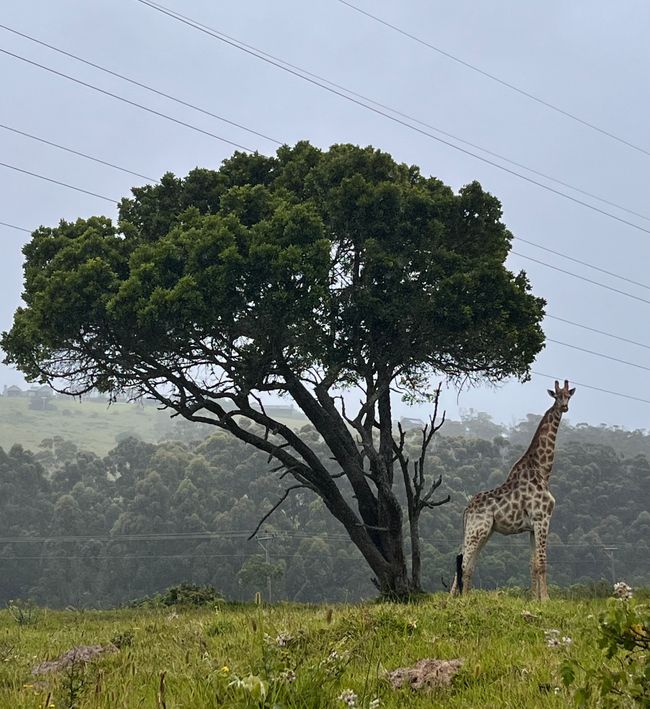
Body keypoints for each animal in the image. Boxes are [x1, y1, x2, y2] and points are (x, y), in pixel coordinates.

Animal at [450, 378, 572, 600]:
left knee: (468, 565)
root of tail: (467, 509)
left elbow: (533, 564)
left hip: (484, 532)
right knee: (462, 565)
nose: (564, 407)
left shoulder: (532, 526)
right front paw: (546, 600)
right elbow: (542, 561)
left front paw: (534, 599)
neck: (543, 470)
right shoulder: (543, 518)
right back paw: (454, 600)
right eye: (557, 396)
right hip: (477, 530)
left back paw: (465, 598)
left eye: (569, 395)